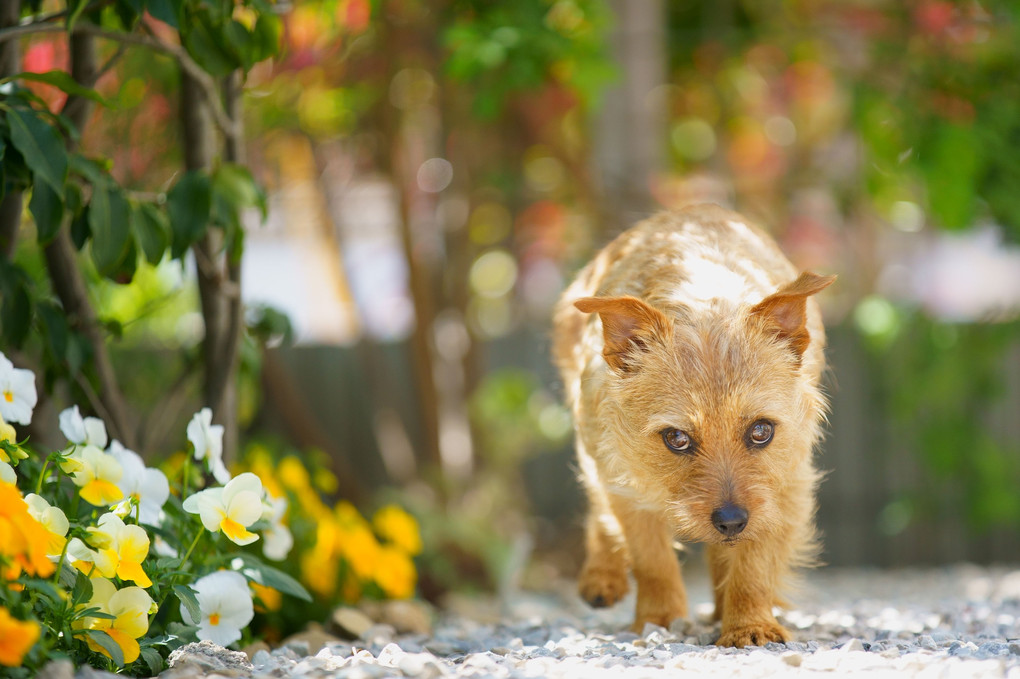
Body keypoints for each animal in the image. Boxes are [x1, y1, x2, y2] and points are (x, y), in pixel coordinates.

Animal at [554, 204, 832, 644]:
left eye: (761, 431)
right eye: (677, 438)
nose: (731, 520)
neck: (704, 306)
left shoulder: (784, 486)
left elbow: (755, 561)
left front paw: (748, 624)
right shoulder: (623, 481)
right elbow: (651, 558)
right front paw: (660, 619)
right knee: (599, 509)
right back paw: (603, 576)